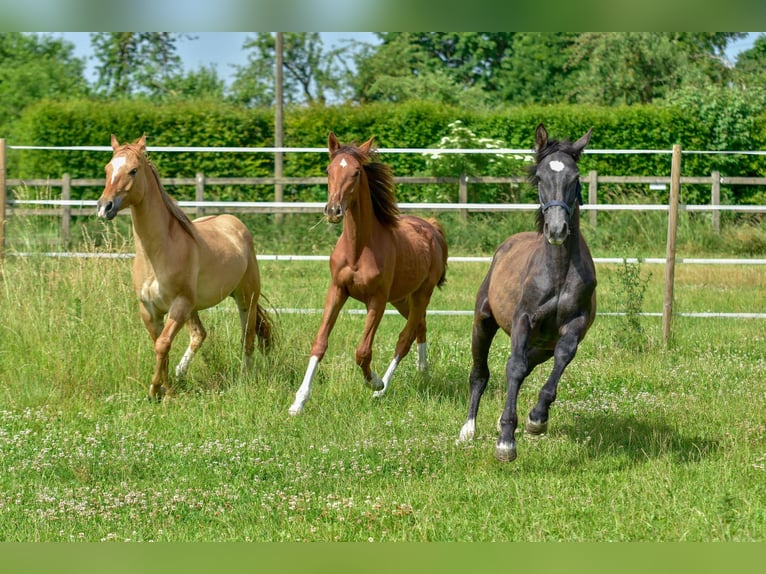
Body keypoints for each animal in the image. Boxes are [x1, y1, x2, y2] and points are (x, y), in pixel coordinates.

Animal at [96, 134, 273, 400]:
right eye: (108, 169)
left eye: (133, 170)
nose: (104, 207)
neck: (157, 254)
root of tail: (235, 224)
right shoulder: (149, 310)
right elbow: (160, 345)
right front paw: (166, 389)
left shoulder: (178, 306)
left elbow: (162, 344)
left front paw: (156, 389)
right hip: (195, 307)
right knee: (199, 334)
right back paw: (181, 372)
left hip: (245, 299)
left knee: (247, 337)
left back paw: (245, 377)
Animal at [288, 132, 448, 415]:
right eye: (328, 170)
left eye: (355, 173)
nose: (333, 211)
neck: (358, 249)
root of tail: (431, 227)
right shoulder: (337, 290)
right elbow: (320, 342)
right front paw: (298, 402)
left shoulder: (377, 300)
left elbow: (363, 350)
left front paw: (373, 381)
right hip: (402, 299)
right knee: (421, 326)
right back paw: (423, 372)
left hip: (421, 294)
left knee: (405, 338)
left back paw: (382, 388)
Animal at [457, 124, 597, 462]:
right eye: (540, 177)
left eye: (575, 177)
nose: (557, 230)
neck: (557, 272)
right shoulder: (523, 320)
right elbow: (515, 367)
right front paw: (506, 441)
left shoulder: (573, 326)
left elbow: (560, 360)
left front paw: (536, 419)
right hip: (483, 322)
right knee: (482, 372)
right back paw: (468, 429)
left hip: (542, 342)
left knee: (528, 362)